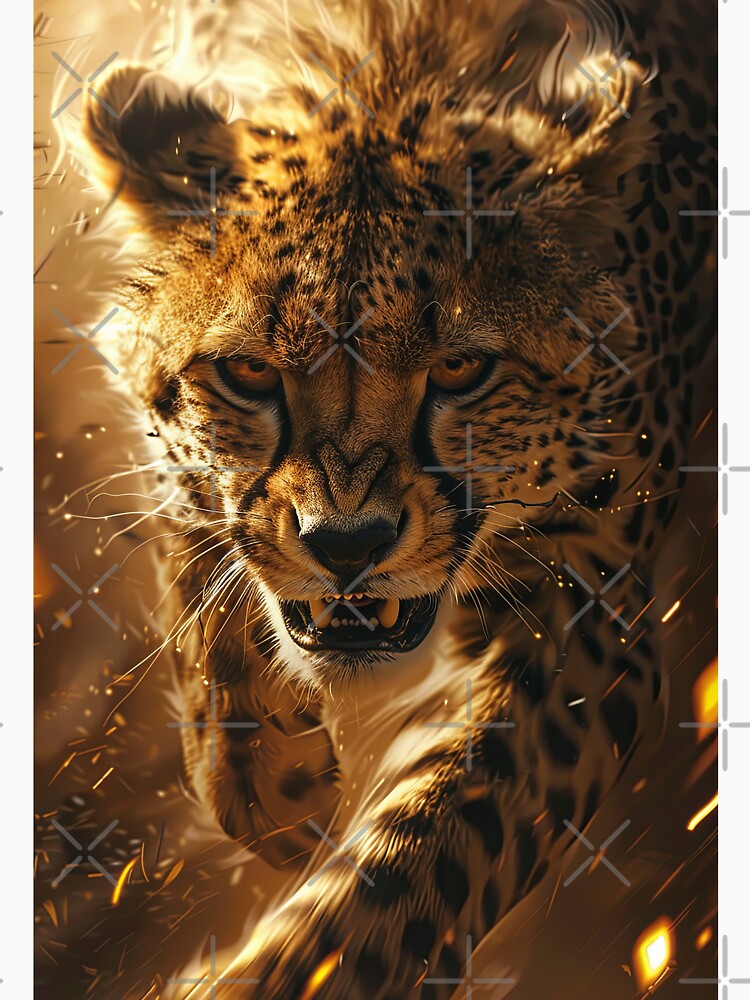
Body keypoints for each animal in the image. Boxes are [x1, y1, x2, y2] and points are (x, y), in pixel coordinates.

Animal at [75, 0, 716, 994]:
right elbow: (197, 518)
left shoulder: (589, 610)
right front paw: (262, 776)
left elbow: (433, 844)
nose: (346, 544)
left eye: (459, 369)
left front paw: (288, 967)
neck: (388, 62)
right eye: (249, 373)